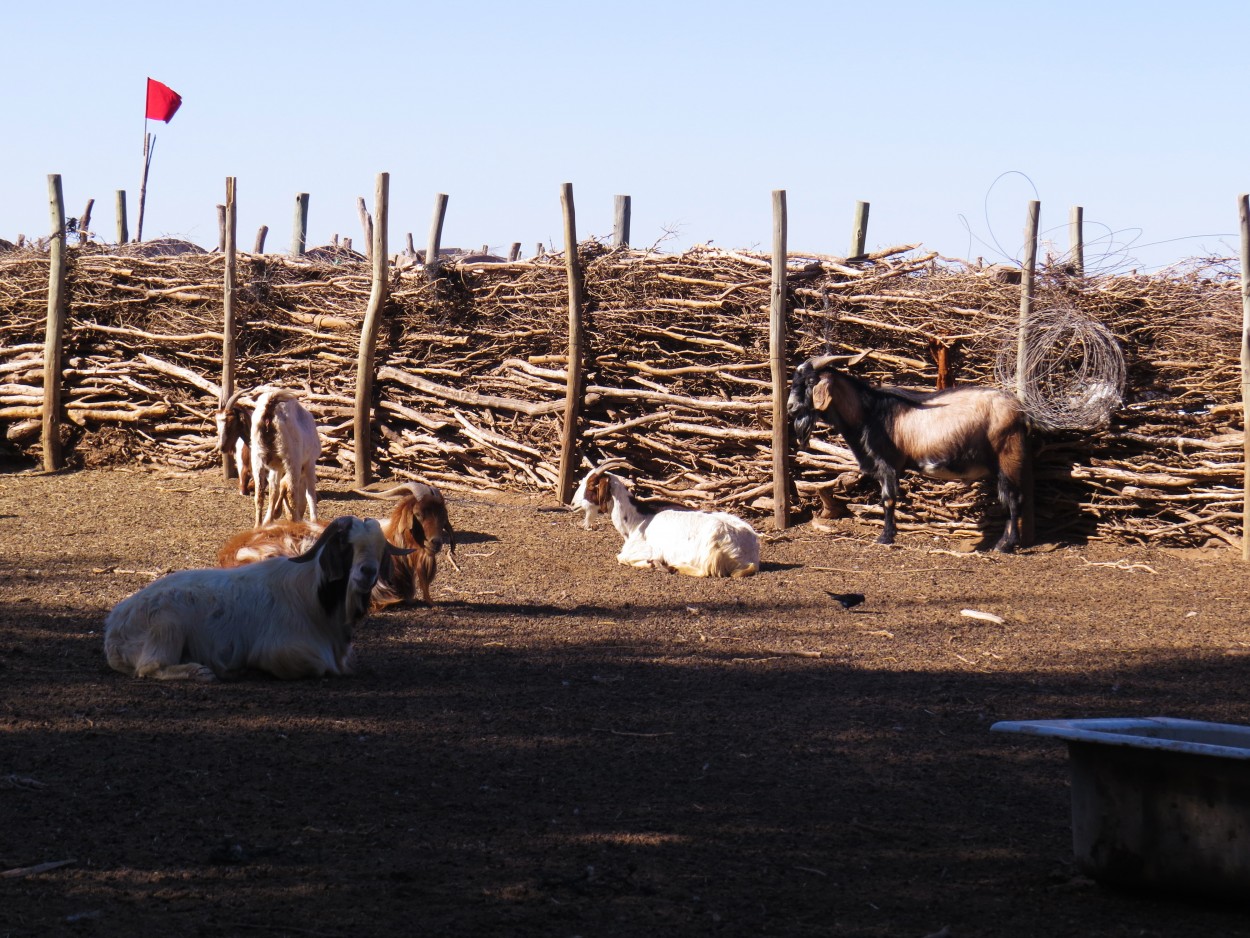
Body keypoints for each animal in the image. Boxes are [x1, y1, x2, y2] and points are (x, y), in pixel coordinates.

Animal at [106, 515, 410, 685]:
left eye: (379, 548)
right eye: (347, 545)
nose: (367, 573)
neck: (315, 597)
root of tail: (114, 628)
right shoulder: (282, 652)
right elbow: (317, 666)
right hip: (167, 625)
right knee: (150, 667)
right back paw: (201, 672)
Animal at [570, 465, 760, 577]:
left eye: (591, 485)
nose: (572, 504)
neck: (637, 519)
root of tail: (750, 555)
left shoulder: (643, 550)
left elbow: (620, 557)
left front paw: (653, 564)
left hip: (708, 552)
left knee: (704, 572)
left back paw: (674, 566)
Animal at [785, 357, 1030, 550]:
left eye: (810, 381)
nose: (790, 408)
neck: (869, 413)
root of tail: (1019, 409)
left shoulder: (887, 464)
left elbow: (888, 499)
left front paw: (885, 537)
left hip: (1008, 456)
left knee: (1015, 499)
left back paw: (1007, 545)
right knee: (1007, 499)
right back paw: (1004, 542)